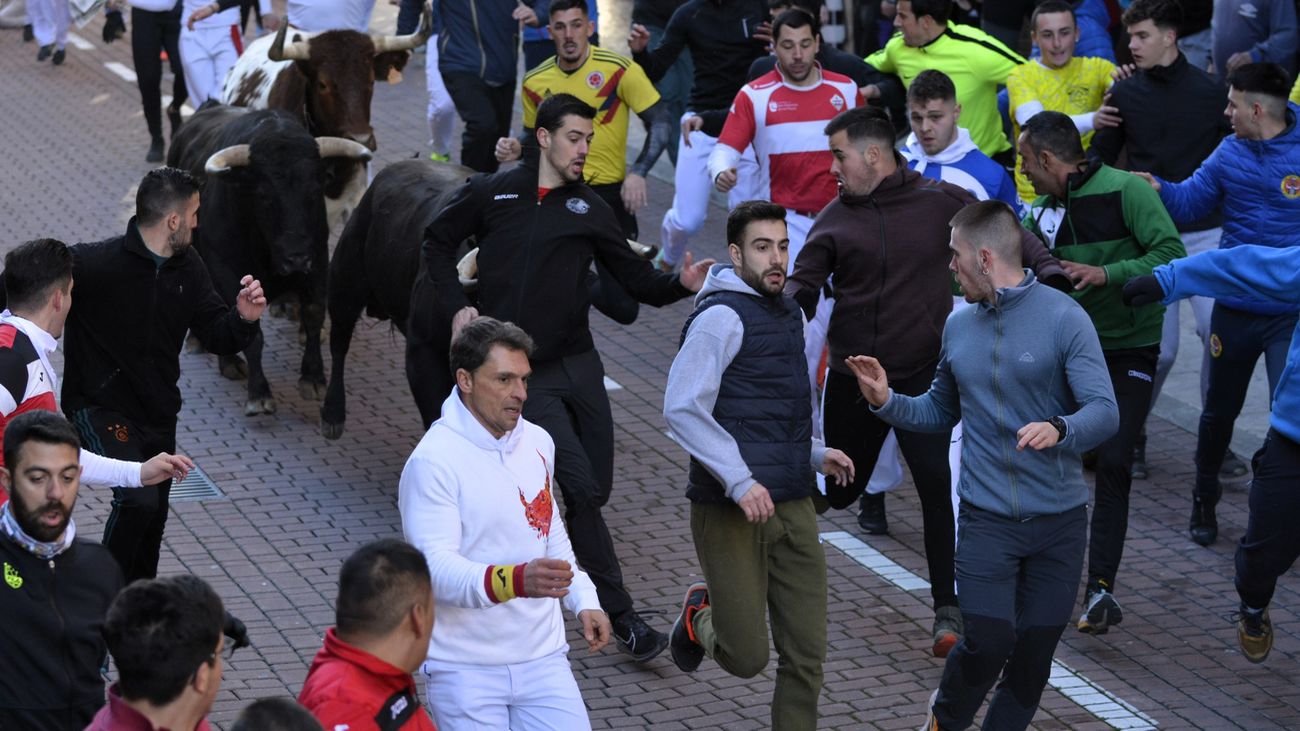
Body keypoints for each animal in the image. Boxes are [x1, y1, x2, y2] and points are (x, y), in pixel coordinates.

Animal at [166, 107, 371, 416]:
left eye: (315, 190)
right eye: (263, 195)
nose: (296, 256)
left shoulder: (317, 263)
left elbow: (313, 314)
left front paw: (313, 378)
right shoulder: (226, 272)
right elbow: (252, 333)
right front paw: (259, 394)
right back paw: (215, 354)